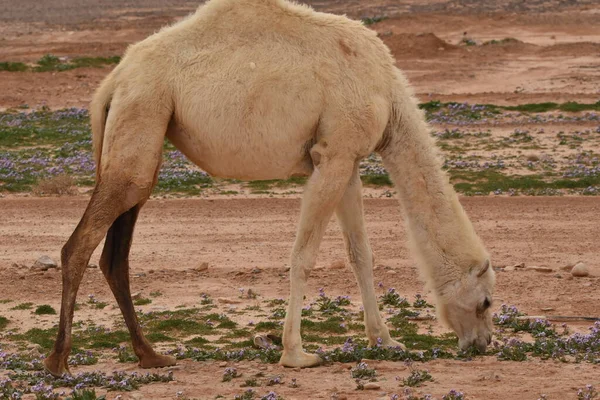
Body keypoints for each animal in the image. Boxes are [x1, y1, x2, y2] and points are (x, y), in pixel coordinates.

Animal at [41, 0, 492, 376]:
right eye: (486, 302)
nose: (483, 344)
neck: (388, 96)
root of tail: (113, 80)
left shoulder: (347, 160)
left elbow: (360, 254)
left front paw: (385, 340)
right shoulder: (333, 154)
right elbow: (304, 256)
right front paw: (296, 354)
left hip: (140, 127)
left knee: (116, 251)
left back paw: (150, 355)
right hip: (142, 111)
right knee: (82, 243)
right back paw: (59, 361)